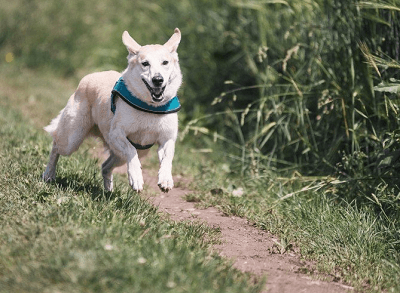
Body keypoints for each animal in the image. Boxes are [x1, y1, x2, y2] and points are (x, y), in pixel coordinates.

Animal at [42, 28, 183, 193]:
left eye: (165, 62)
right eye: (145, 63)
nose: (158, 80)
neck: (150, 107)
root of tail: (89, 76)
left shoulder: (167, 139)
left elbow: (167, 158)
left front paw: (166, 179)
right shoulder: (116, 134)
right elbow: (131, 151)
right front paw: (136, 178)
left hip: (130, 153)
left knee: (105, 166)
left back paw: (108, 191)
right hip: (72, 138)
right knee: (56, 146)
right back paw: (48, 175)